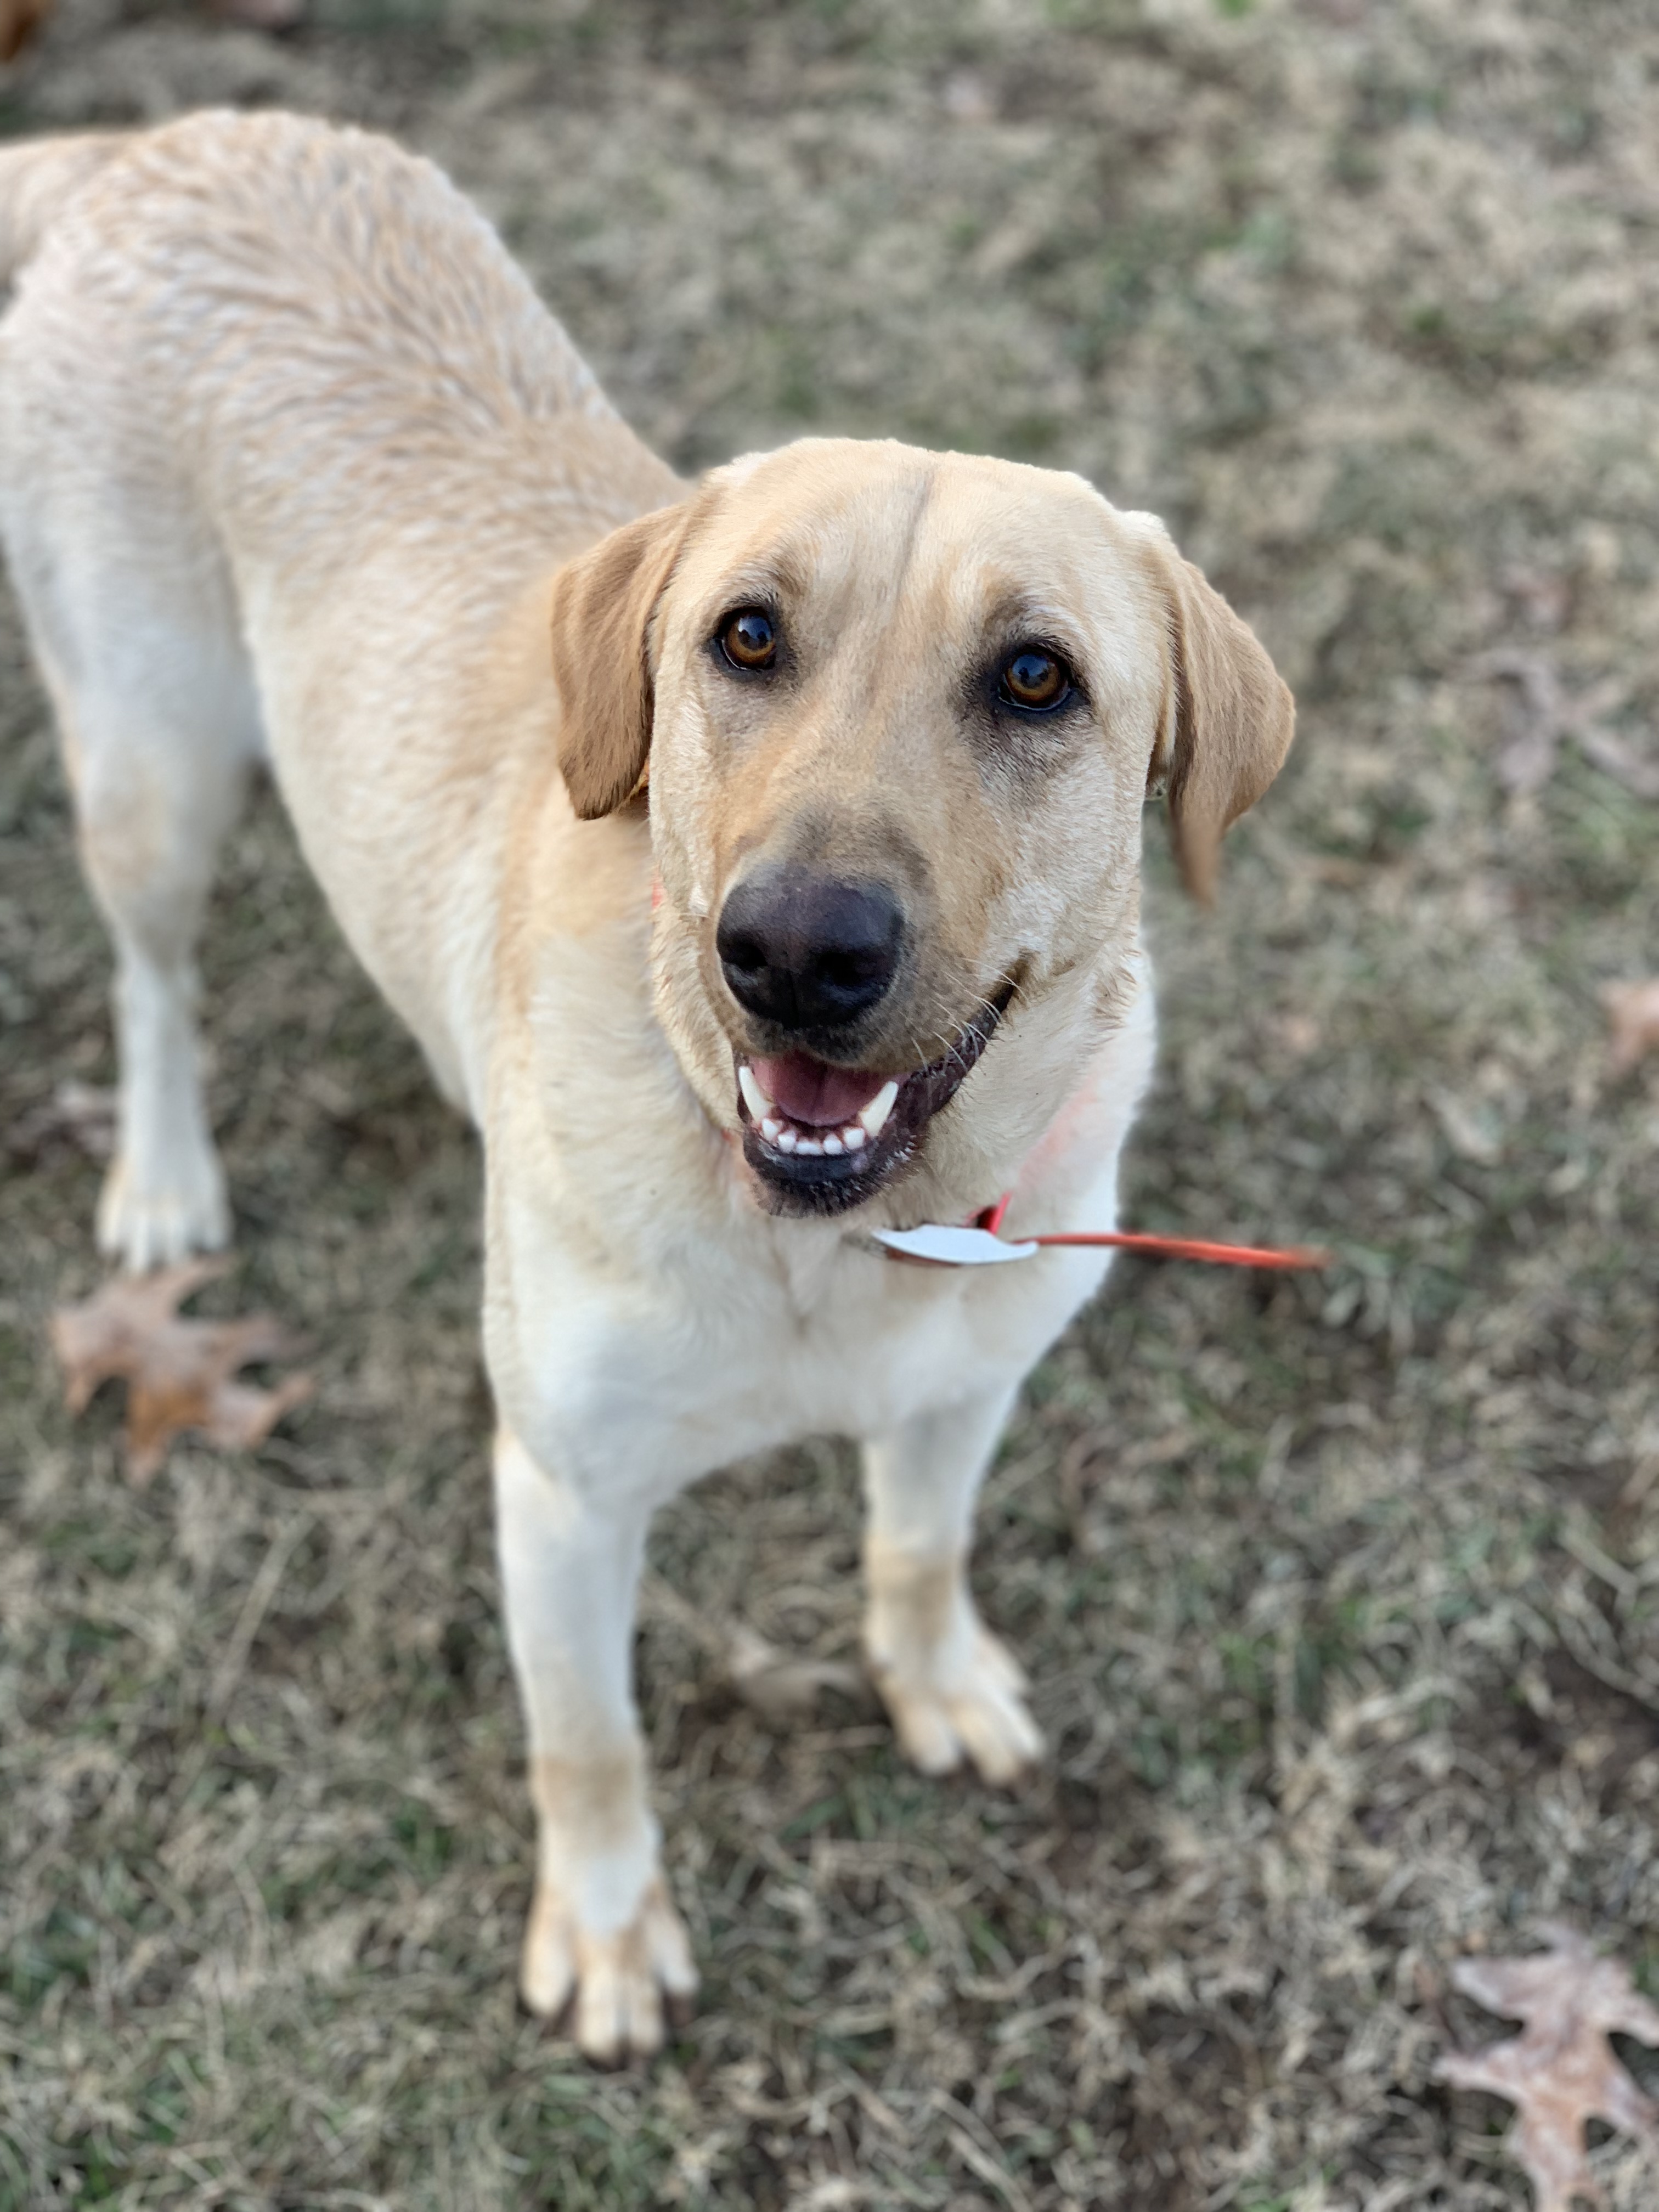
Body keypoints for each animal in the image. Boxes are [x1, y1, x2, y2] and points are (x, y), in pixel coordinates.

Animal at [0, 112, 1300, 2061]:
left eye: (1036, 678)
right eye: (746, 639)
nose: (796, 951)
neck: (835, 1241)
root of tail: (162, 141)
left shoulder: (964, 1388)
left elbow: (920, 1551)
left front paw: (934, 1680)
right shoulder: (559, 1497)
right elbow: (591, 1741)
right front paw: (611, 1933)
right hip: (150, 764)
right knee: (155, 978)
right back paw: (163, 1180)